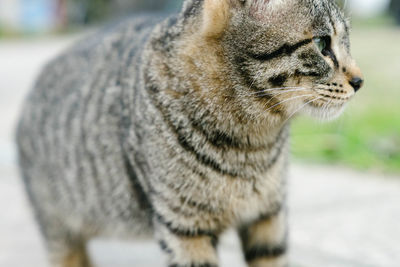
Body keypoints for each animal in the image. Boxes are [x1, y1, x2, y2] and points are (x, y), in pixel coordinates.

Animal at [17, 0, 364, 267]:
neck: (251, 144)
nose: (361, 81)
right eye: (322, 44)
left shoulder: (268, 216)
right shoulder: (185, 229)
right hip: (58, 227)